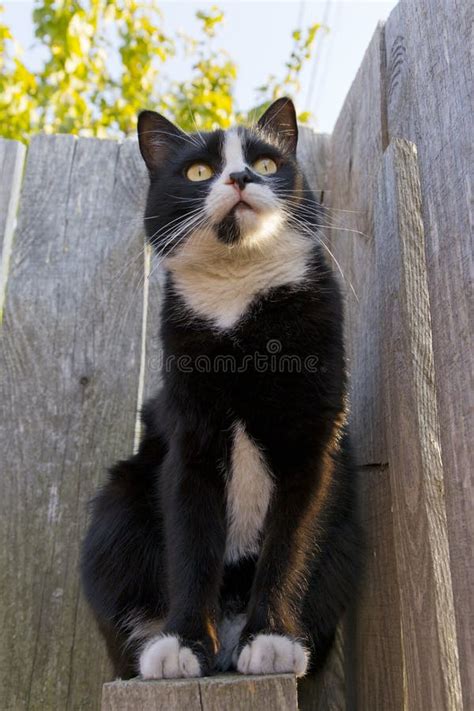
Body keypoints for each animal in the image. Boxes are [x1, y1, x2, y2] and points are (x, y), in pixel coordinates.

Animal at [80, 97, 360, 680]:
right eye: (198, 171)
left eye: (268, 163)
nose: (240, 176)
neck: (239, 301)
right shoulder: (190, 437)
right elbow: (191, 544)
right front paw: (184, 644)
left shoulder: (313, 438)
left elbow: (291, 542)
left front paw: (272, 638)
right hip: (118, 510)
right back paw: (156, 648)